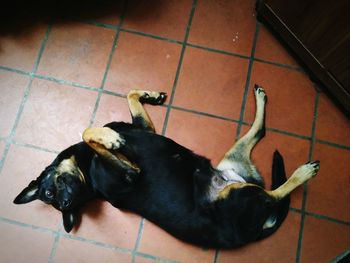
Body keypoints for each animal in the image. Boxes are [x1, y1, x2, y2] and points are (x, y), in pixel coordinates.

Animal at [13, 87, 320, 250]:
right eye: (54, 200)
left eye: (49, 194)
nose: (66, 201)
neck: (87, 168)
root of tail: (256, 231)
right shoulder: (130, 172)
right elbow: (88, 131)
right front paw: (109, 139)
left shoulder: (143, 128)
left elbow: (129, 98)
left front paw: (149, 95)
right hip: (234, 195)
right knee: (275, 194)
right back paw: (303, 172)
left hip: (233, 163)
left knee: (260, 131)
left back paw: (259, 100)